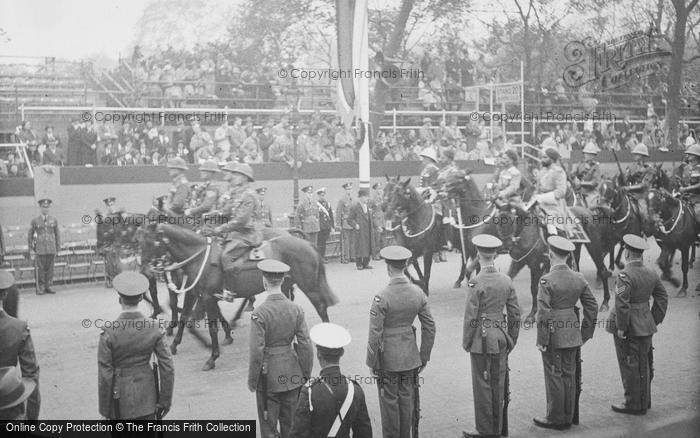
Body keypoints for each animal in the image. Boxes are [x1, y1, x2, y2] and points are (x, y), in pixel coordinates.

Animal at [137, 222, 340, 370]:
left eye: (151, 242)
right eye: (141, 241)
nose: (144, 269)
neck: (199, 257)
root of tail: (306, 243)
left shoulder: (208, 297)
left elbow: (210, 327)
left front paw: (212, 355)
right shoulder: (194, 293)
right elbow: (185, 319)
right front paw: (176, 344)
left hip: (309, 286)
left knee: (321, 308)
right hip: (285, 285)